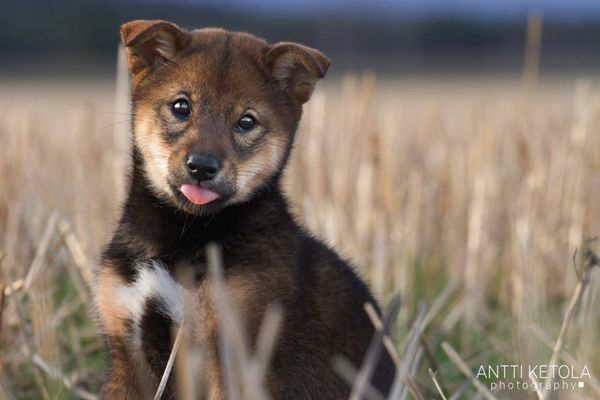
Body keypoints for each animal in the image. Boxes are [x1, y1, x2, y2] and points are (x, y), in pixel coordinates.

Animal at [92, 19, 394, 400]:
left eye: (246, 122)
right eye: (181, 107)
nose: (202, 167)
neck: (182, 237)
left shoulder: (237, 353)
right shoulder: (127, 349)